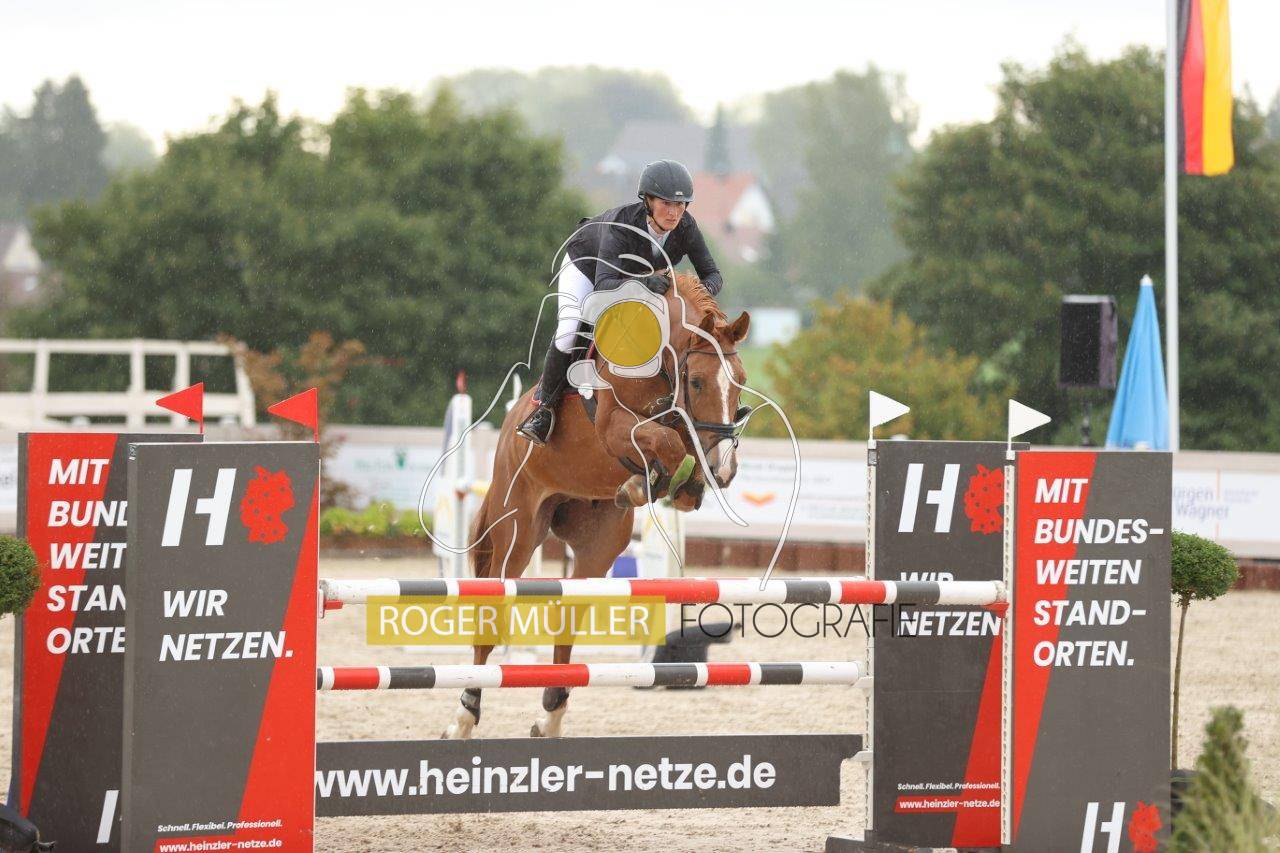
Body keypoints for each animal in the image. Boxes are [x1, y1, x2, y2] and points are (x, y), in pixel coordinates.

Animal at [443, 271, 751, 739]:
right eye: (697, 381)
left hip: (598, 542)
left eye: (739, 380)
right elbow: (668, 441)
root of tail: (512, 421)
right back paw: (464, 715)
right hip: (518, 530)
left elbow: (682, 443)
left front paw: (678, 486)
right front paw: (653, 482)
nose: (725, 468)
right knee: (492, 609)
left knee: (568, 615)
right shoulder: (613, 426)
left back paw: (550, 716)